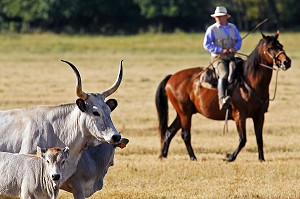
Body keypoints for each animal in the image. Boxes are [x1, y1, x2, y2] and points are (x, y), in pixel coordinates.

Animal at [156, 31, 292, 162]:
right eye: (270, 47)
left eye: (281, 46)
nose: (286, 62)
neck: (250, 81)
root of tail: (171, 77)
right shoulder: (239, 116)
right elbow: (243, 139)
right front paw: (230, 157)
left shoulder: (259, 116)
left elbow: (259, 138)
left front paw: (261, 159)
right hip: (185, 113)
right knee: (185, 135)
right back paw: (192, 157)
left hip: (184, 113)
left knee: (169, 132)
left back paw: (163, 155)